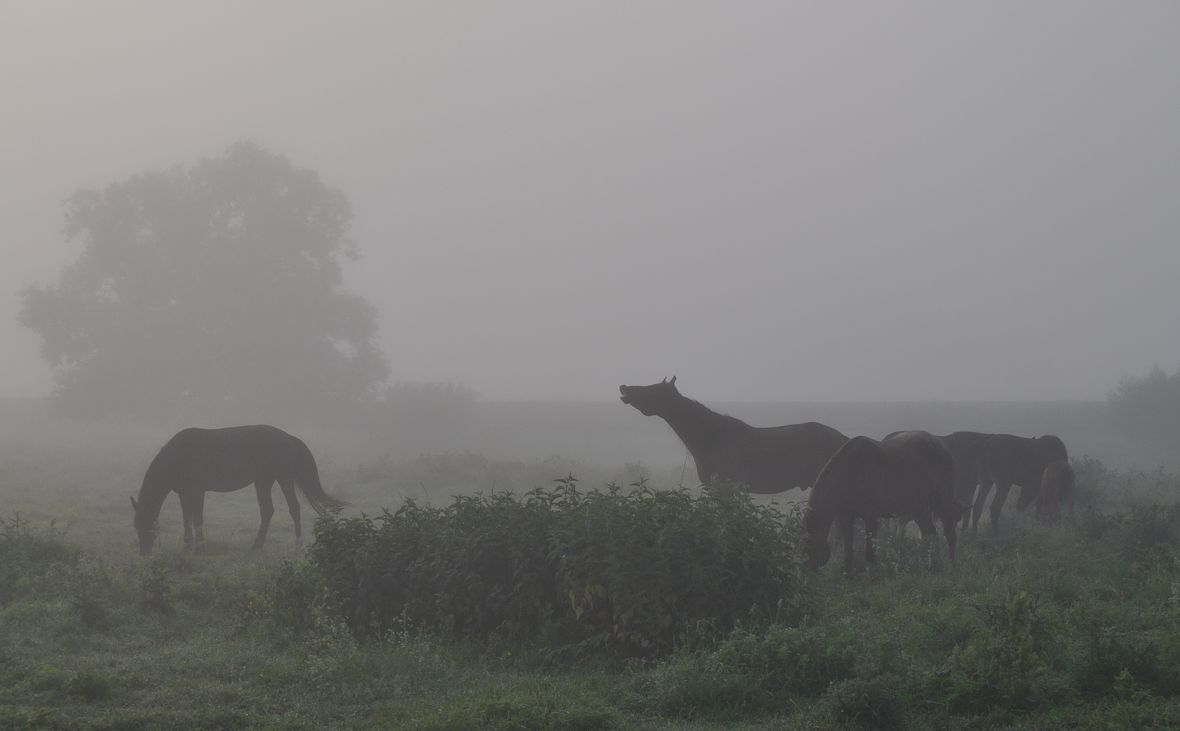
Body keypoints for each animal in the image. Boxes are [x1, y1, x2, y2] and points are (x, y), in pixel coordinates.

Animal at [130, 422, 342, 555]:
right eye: (136, 527)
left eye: (148, 528)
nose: (144, 553)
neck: (178, 456)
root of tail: (289, 438)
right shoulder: (183, 493)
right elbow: (186, 519)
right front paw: (187, 548)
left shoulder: (198, 491)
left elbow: (197, 519)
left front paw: (199, 549)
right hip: (263, 481)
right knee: (267, 511)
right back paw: (256, 546)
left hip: (284, 478)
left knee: (294, 509)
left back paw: (298, 546)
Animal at [807, 432, 962, 573]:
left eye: (812, 548)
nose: (810, 572)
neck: (853, 471)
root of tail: (942, 446)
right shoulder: (845, 518)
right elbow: (848, 551)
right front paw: (849, 575)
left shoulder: (870, 517)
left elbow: (870, 553)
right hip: (920, 508)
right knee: (929, 533)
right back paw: (930, 565)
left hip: (941, 500)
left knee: (949, 533)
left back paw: (951, 565)